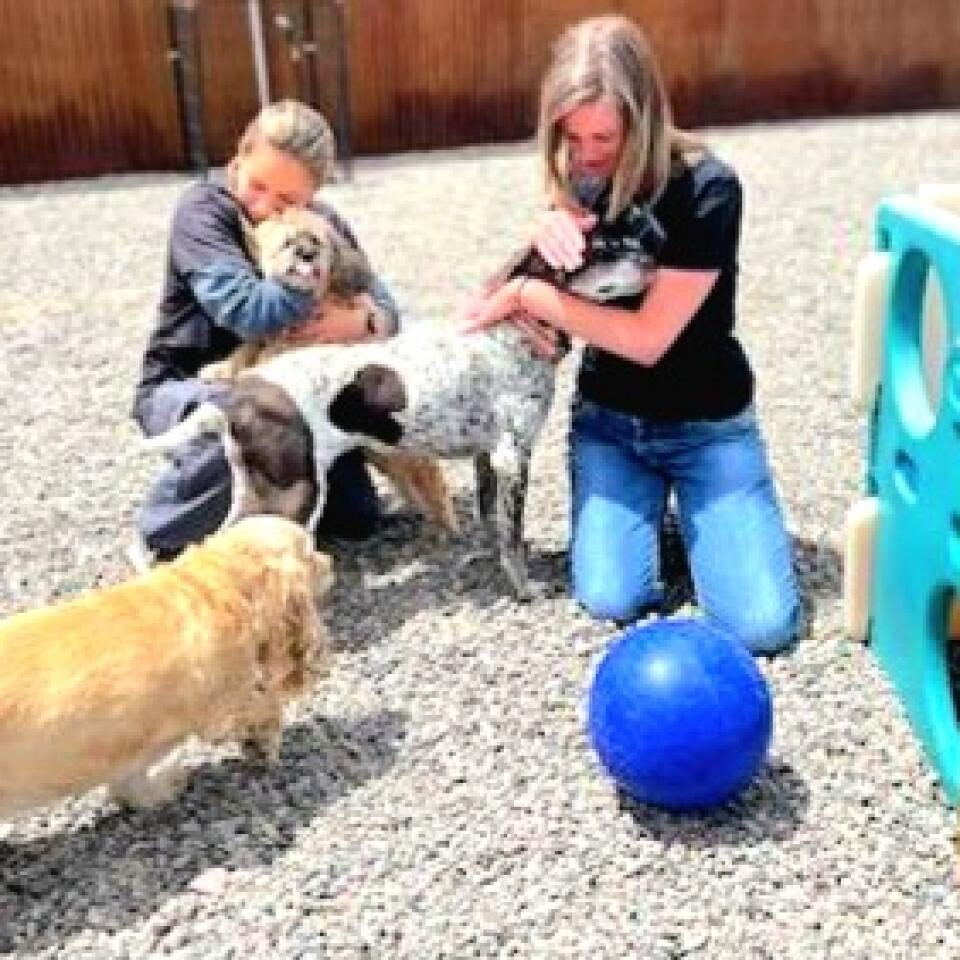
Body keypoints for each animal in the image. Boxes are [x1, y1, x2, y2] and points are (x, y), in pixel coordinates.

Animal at [0, 512, 334, 812]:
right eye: (311, 551)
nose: (331, 562)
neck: (216, 585)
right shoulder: (225, 705)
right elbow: (267, 708)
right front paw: (264, 744)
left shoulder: (127, 748)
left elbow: (130, 781)